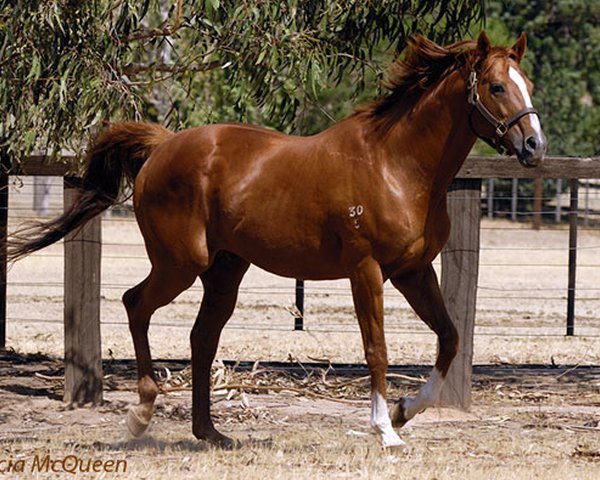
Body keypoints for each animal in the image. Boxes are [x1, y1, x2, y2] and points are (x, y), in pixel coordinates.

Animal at [8, 32, 544, 450]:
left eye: (529, 86)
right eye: (497, 86)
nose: (535, 147)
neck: (396, 165)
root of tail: (162, 147)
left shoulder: (414, 271)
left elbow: (449, 338)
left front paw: (403, 411)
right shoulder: (366, 270)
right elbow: (377, 348)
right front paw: (385, 430)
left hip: (224, 271)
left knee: (201, 338)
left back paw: (210, 433)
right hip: (180, 263)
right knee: (135, 304)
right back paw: (141, 413)